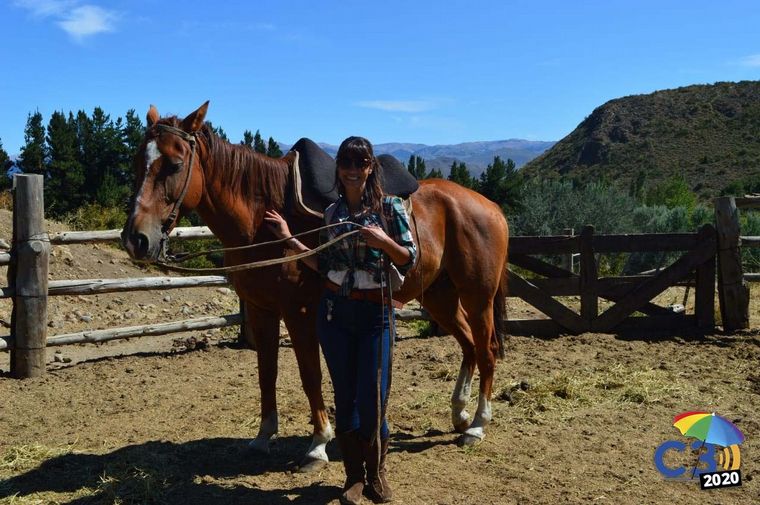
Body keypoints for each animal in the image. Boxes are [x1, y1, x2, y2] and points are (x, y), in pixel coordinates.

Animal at [121, 101, 508, 468]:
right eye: (138, 161)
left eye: (174, 164)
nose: (135, 239)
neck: (262, 221)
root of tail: (491, 206)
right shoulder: (261, 310)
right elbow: (267, 372)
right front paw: (263, 436)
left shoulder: (300, 312)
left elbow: (310, 374)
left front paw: (318, 444)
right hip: (440, 298)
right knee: (469, 346)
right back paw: (459, 414)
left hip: (477, 297)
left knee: (486, 349)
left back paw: (477, 425)